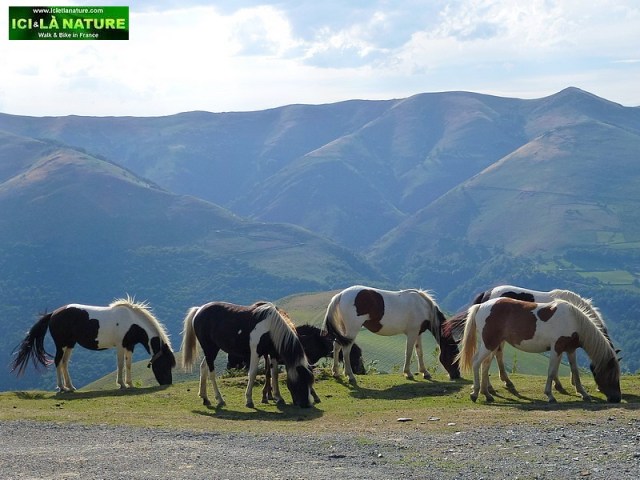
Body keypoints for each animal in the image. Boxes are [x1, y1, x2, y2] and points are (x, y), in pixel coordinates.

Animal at [11, 296, 176, 391]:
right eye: (165, 364)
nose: (168, 383)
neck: (132, 322)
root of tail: (53, 314)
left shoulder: (129, 346)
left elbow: (128, 365)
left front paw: (130, 384)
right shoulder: (120, 346)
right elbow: (121, 364)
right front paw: (122, 384)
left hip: (70, 344)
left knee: (64, 363)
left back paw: (70, 387)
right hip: (61, 344)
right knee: (58, 362)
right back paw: (62, 387)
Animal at [181, 301, 316, 408]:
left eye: (310, 382)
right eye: (301, 382)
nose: (307, 404)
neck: (270, 326)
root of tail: (199, 310)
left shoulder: (272, 354)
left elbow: (274, 374)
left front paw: (278, 397)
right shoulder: (255, 352)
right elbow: (253, 373)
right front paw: (249, 400)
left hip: (212, 349)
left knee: (203, 367)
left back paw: (205, 398)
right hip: (210, 349)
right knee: (211, 372)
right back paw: (219, 399)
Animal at [227, 324, 365, 403]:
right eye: (356, 354)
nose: (362, 371)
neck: (317, 340)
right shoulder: (306, 360)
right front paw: (314, 396)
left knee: (268, 374)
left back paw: (268, 395)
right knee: (268, 374)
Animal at [322, 285, 460, 385]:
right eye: (453, 354)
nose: (457, 375)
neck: (422, 306)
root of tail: (340, 295)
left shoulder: (418, 333)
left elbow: (419, 352)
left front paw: (425, 372)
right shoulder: (412, 333)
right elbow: (409, 352)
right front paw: (408, 373)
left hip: (343, 330)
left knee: (337, 346)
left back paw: (335, 372)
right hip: (352, 330)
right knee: (346, 350)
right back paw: (350, 376)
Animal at [461, 284, 617, 400]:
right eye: (611, 375)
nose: (616, 398)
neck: (573, 318)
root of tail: (482, 305)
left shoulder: (569, 349)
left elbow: (574, 370)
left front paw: (581, 391)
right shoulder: (557, 347)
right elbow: (552, 371)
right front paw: (551, 393)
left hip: (493, 343)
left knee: (486, 364)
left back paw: (488, 392)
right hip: (490, 343)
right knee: (478, 362)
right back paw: (477, 392)